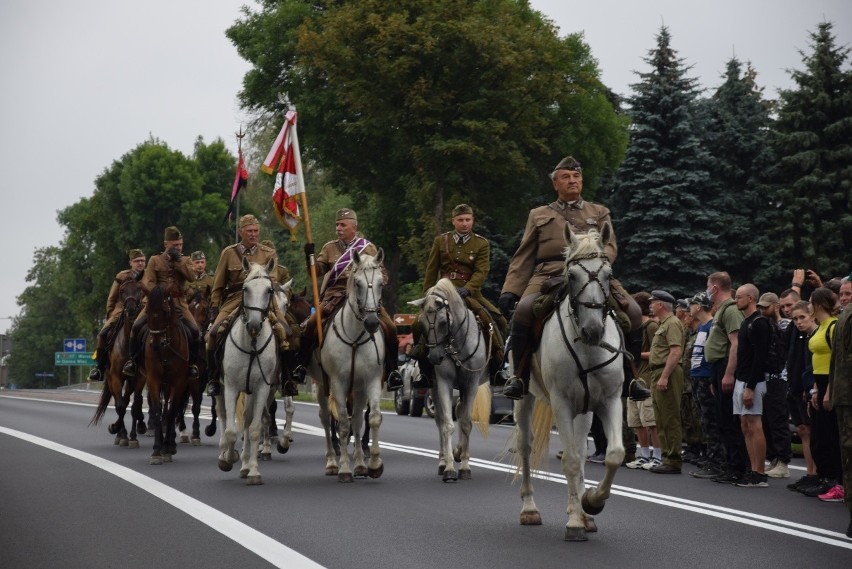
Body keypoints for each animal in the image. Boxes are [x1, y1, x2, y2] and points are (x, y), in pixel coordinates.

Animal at [143, 284, 190, 462]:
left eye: (166, 311)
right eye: (147, 311)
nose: (156, 345)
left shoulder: (179, 382)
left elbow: (170, 413)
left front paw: (166, 448)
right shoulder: (153, 380)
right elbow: (157, 412)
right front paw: (157, 450)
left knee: (174, 410)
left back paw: (170, 444)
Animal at [216, 258, 280, 484]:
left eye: (269, 290)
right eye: (245, 288)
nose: (253, 324)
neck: (251, 343)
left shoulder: (261, 388)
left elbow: (253, 429)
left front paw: (252, 470)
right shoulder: (231, 387)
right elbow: (230, 430)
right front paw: (227, 459)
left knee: (247, 418)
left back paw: (244, 465)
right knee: (225, 416)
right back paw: (226, 453)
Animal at [308, 248, 384, 480]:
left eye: (381, 283)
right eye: (358, 283)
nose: (372, 322)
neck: (355, 338)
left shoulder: (371, 381)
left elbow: (371, 418)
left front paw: (373, 464)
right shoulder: (337, 384)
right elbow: (341, 423)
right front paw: (343, 469)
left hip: (357, 389)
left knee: (357, 420)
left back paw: (359, 464)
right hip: (321, 385)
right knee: (326, 418)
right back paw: (332, 462)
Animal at [412, 278, 492, 480]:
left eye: (442, 322)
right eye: (422, 324)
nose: (434, 357)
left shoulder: (471, 384)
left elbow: (465, 423)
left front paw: (464, 466)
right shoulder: (443, 383)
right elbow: (447, 424)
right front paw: (449, 468)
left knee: (461, 411)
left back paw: (458, 452)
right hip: (433, 387)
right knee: (440, 420)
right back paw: (443, 461)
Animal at [512, 221, 624, 536]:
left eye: (608, 274)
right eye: (572, 276)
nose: (593, 331)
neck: (587, 349)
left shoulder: (610, 401)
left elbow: (614, 454)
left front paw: (591, 503)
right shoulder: (561, 403)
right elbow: (571, 460)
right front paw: (575, 520)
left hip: (584, 410)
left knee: (583, 450)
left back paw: (585, 513)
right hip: (524, 398)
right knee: (526, 447)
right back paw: (529, 509)